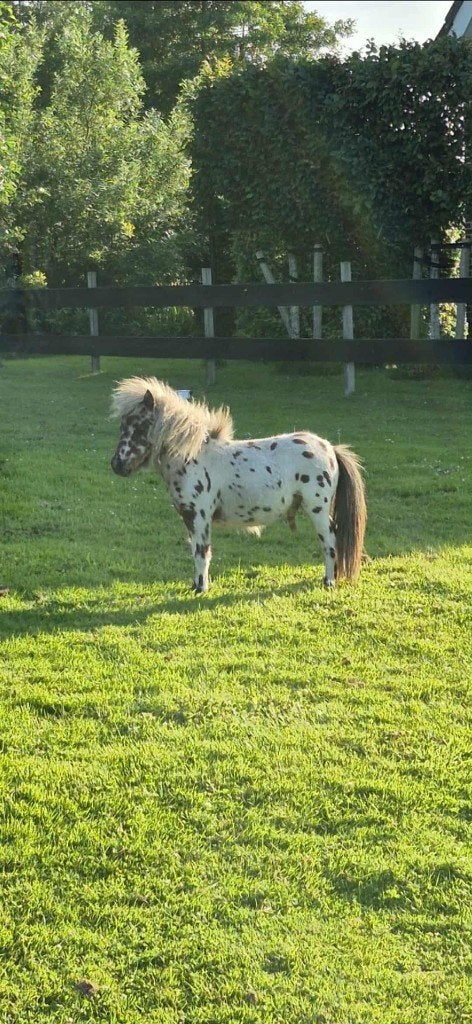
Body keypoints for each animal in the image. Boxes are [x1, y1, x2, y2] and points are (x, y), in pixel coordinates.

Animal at [110, 376, 367, 593]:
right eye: (123, 426)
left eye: (140, 426)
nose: (117, 464)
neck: (193, 457)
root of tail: (331, 448)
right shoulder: (190, 519)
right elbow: (195, 550)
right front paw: (196, 585)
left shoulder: (199, 517)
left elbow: (202, 552)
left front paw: (201, 588)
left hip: (317, 510)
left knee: (330, 541)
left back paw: (329, 581)